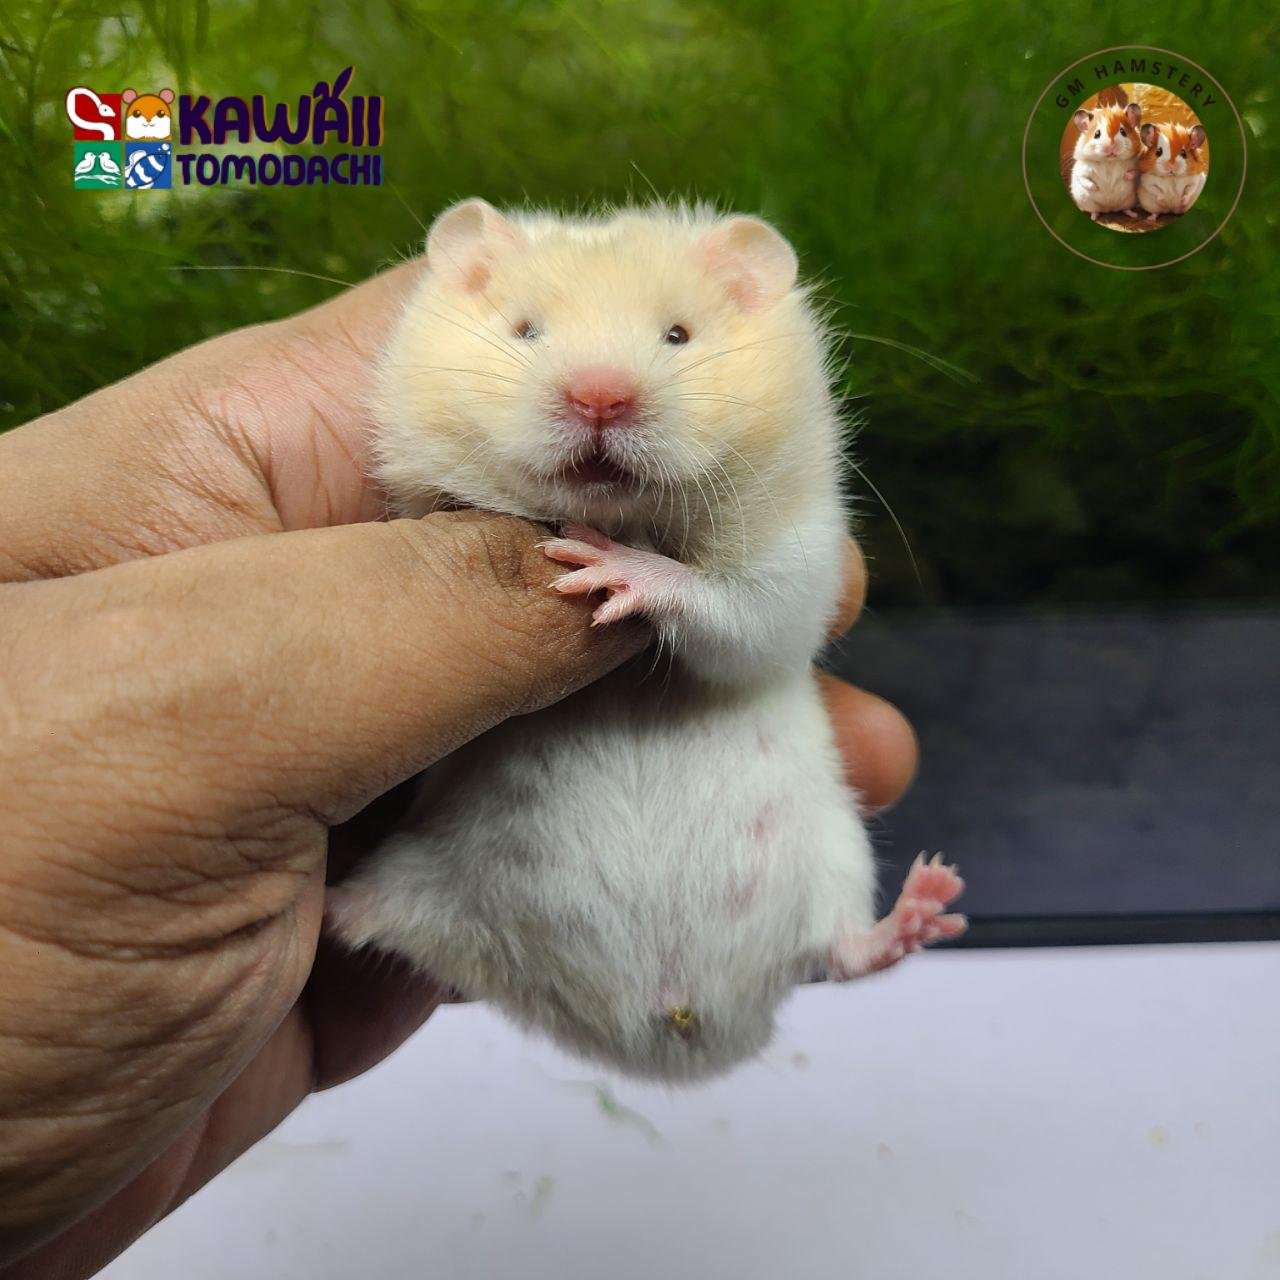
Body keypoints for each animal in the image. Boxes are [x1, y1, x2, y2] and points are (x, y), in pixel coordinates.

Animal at [326, 200, 966, 1082]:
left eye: (678, 335)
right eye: (526, 329)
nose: (600, 397)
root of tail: (665, 1029)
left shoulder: (795, 572)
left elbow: (725, 606)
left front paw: (606, 567)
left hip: (834, 851)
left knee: (840, 952)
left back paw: (929, 902)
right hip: (429, 878)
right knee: (365, 919)